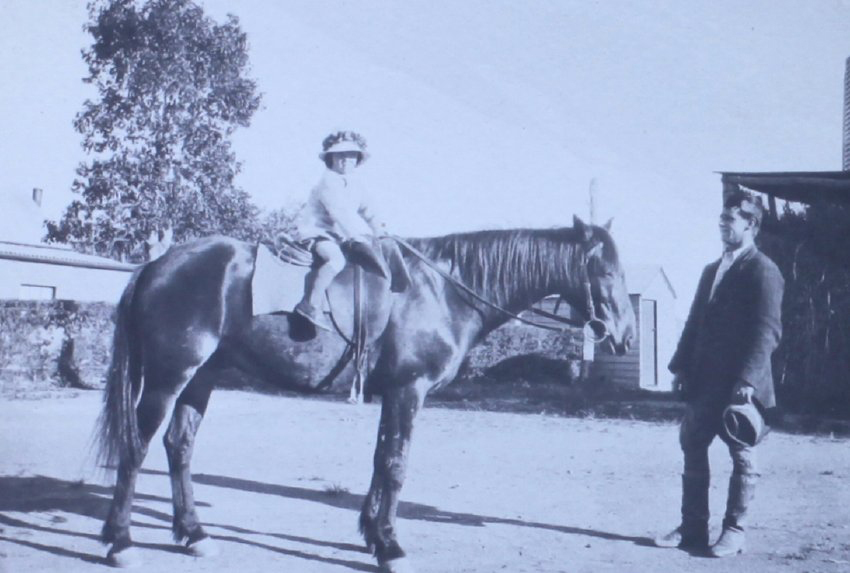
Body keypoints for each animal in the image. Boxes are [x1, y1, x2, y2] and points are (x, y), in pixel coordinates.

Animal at [96, 216, 636, 571]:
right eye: (607, 272)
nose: (626, 336)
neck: (441, 290)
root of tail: (156, 265)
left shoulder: (393, 393)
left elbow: (381, 461)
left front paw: (372, 536)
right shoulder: (409, 391)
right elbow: (396, 465)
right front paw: (391, 547)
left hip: (200, 378)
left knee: (179, 446)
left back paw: (193, 534)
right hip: (169, 376)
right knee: (137, 446)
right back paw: (120, 541)